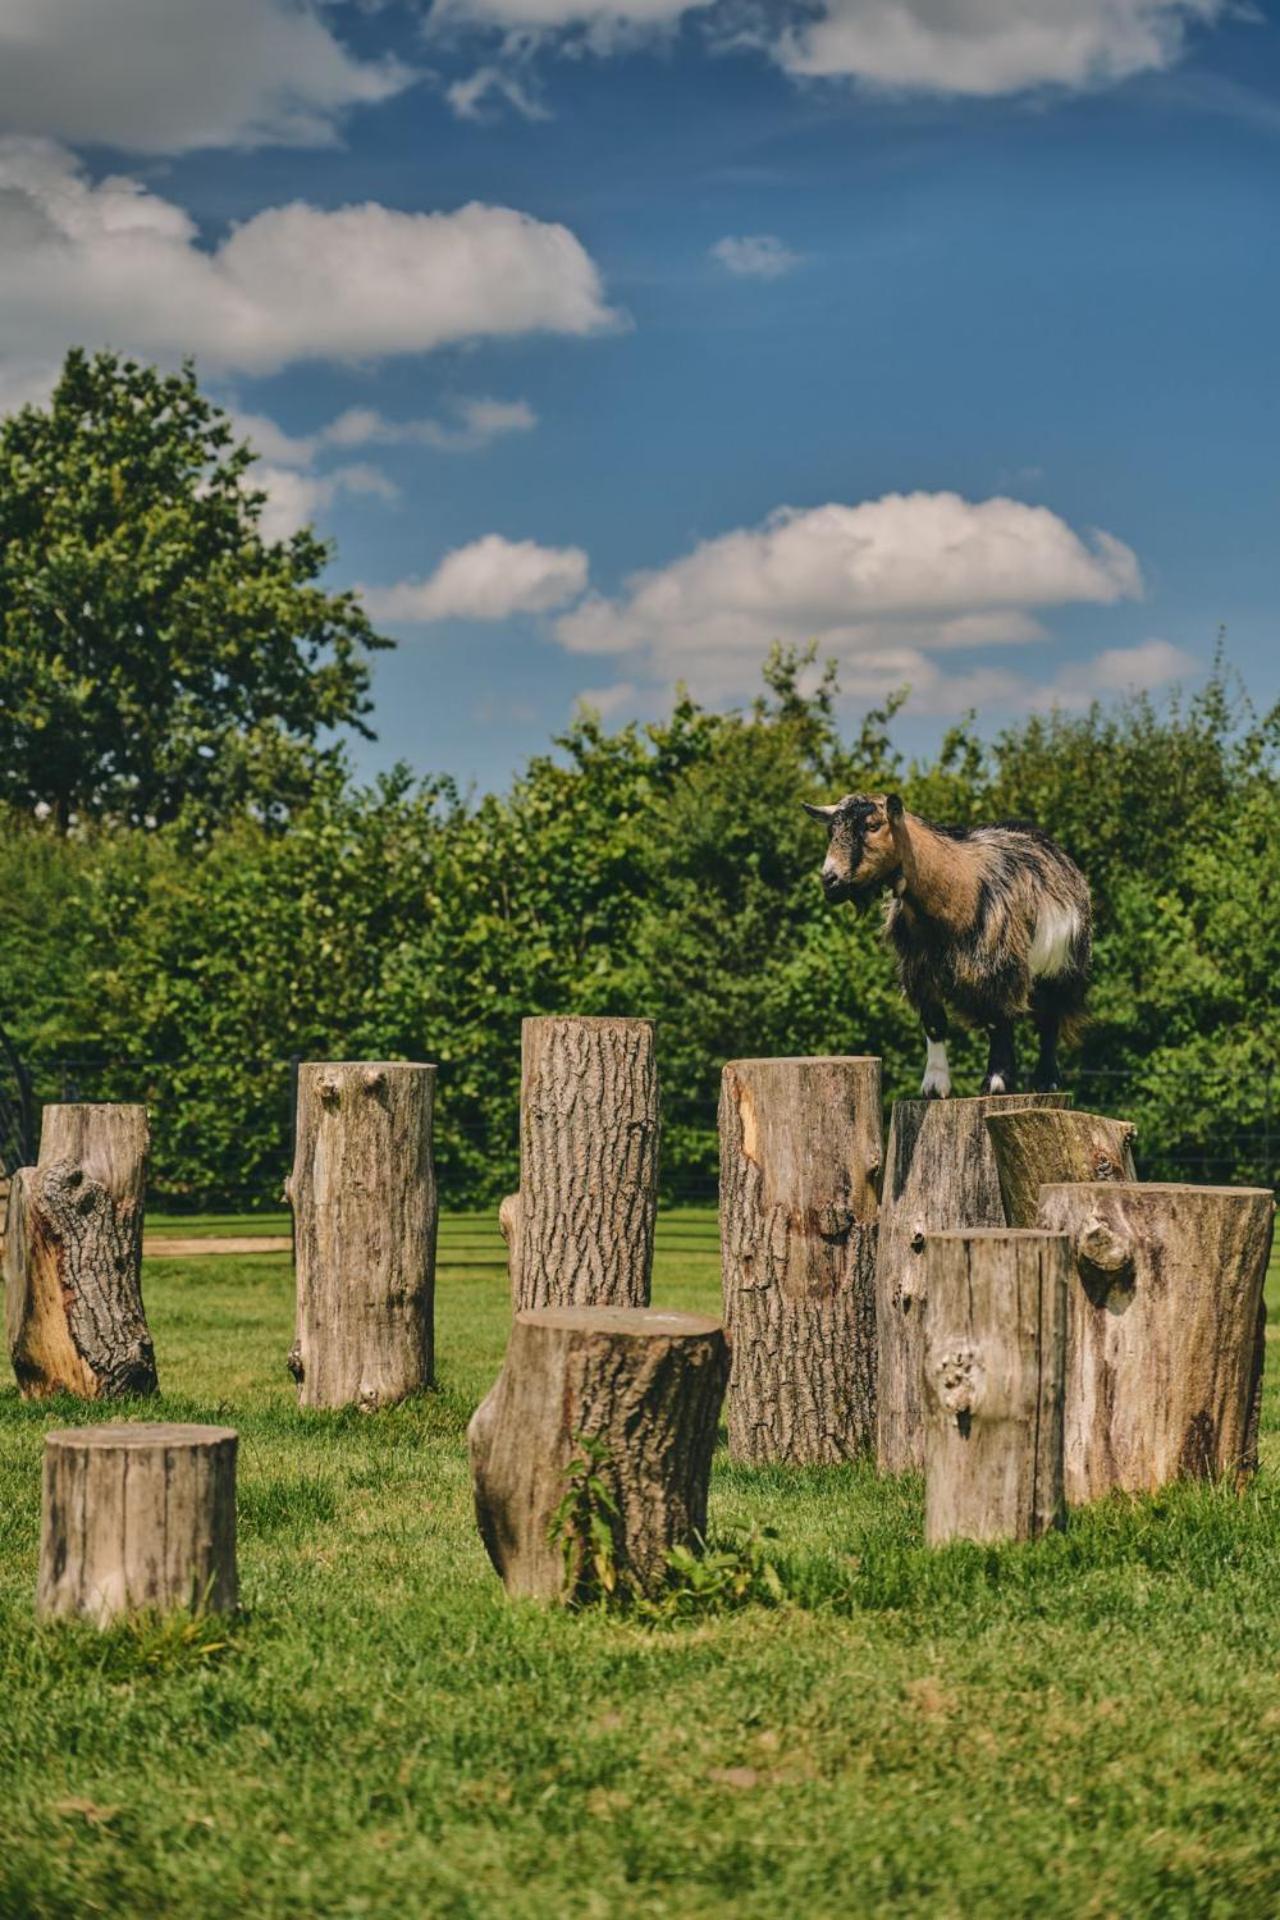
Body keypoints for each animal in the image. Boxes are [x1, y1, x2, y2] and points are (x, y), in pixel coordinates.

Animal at [802, 791, 1090, 1098]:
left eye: (872, 826)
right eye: (831, 831)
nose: (830, 880)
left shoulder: (996, 965)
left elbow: (998, 1021)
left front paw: (996, 1081)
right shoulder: (920, 971)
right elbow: (935, 1024)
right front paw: (934, 1085)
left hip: (1061, 965)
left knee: (1049, 1019)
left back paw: (1047, 1081)